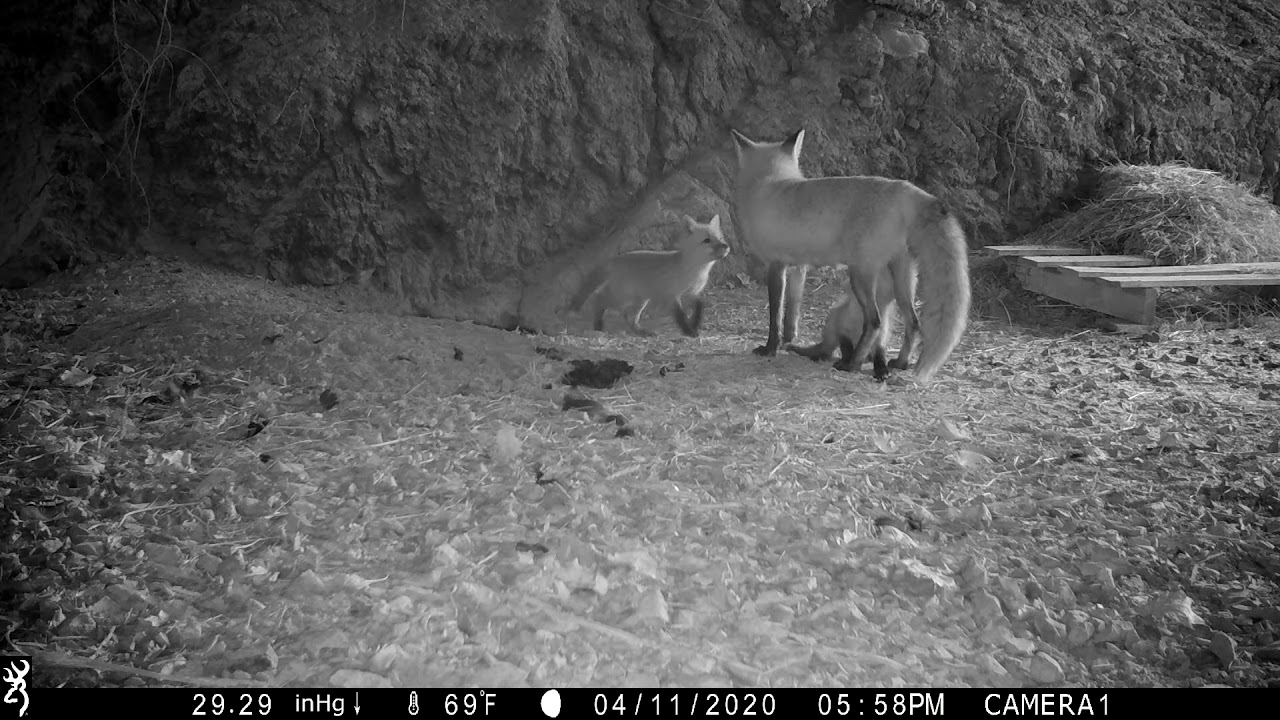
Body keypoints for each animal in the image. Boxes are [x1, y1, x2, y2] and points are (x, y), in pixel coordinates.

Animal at [568, 214, 731, 337]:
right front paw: (689, 331)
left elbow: (699, 308)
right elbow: (681, 316)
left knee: (628, 317)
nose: (726, 246)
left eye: (720, 238)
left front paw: (695, 325)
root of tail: (614, 259)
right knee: (598, 297)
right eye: (707, 240)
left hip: (640, 300)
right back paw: (598, 326)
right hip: (622, 296)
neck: (694, 272)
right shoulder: (672, 296)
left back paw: (642, 332)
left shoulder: (693, 293)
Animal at [787, 266, 918, 376]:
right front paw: (846, 363)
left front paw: (881, 370)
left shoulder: (881, 338)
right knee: (826, 351)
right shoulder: (843, 330)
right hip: (835, 319)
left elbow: (880, 356)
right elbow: (847, 350)